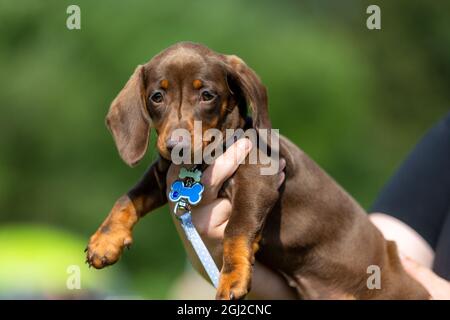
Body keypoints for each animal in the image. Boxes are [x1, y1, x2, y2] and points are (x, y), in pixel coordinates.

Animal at [87, 42, 428, 300]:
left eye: (207, 95)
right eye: (157, 96)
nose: (175, 146)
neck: (200, 162)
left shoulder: (258, 180)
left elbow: (236, 228)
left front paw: (233, 277)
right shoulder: (163, 177)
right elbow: (127, 199)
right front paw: (105, 241)